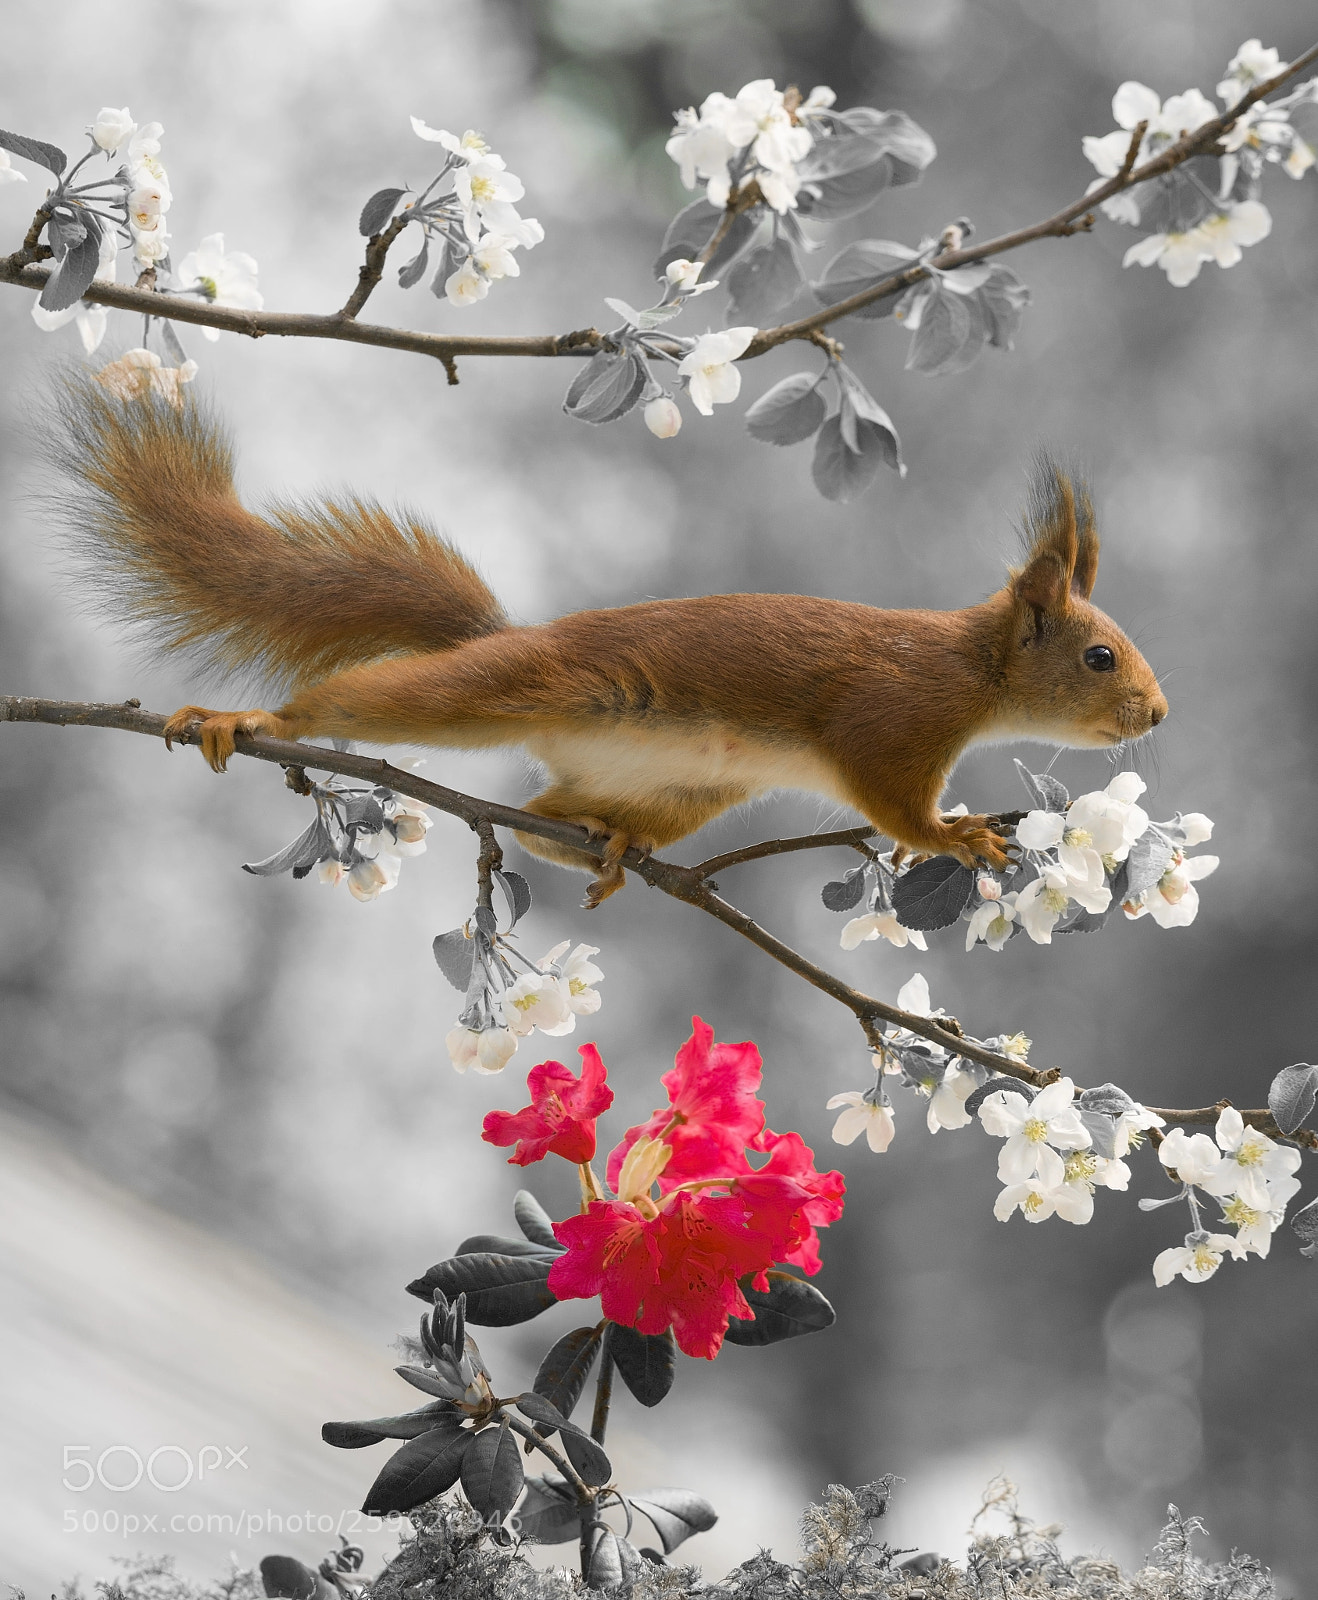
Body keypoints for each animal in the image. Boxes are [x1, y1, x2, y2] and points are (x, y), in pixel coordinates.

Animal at [54, 377, 1167, 906]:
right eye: (1099, 657)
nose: (1157, 714)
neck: (974, 670)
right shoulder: (893, 718)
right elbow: (892, 802)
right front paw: (955, 835)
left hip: (683, 791)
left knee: (548, 819)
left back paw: (609, 842)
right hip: (505, 685)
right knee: (360, 704)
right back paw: (252, 719)